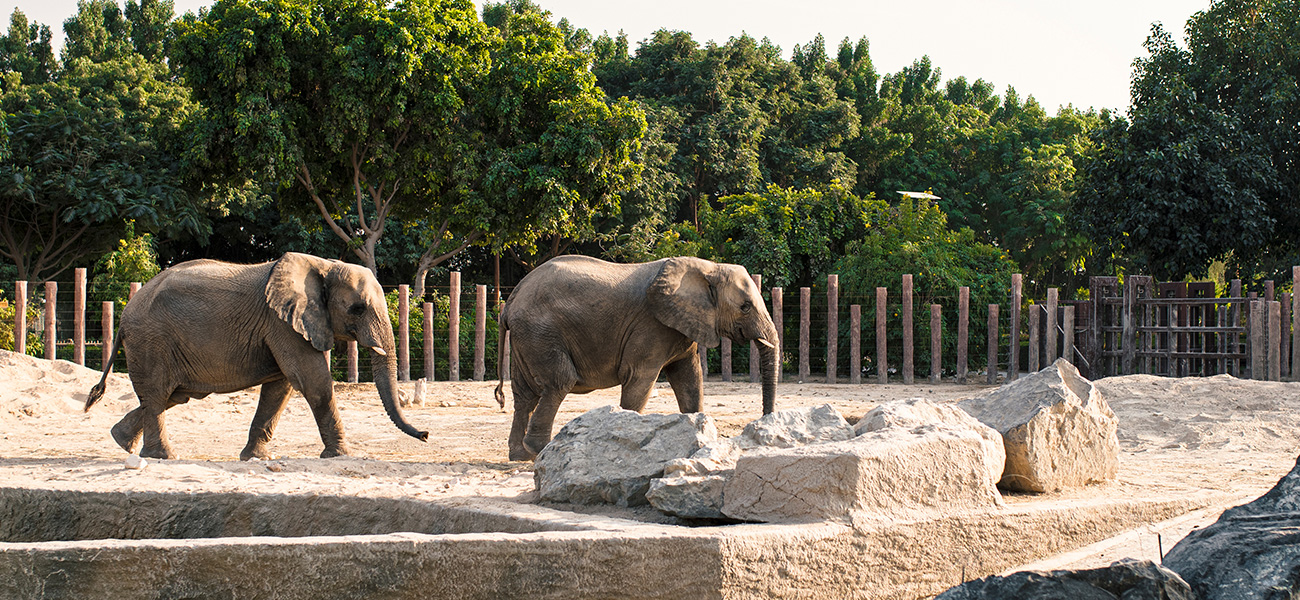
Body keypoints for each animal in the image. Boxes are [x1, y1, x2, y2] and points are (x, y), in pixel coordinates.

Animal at [84, 252, 428, 460]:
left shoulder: (284, 325)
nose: (425, 435)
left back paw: (121, 441)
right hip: (152, 341)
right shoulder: (283, 323)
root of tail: (124, 314)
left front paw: (255, 458)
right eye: (357, 309)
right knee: (157, 395)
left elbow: (280, 388)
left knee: (172, 396)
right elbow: (312, 381)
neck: (323, 265)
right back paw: (162, 457)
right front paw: (341, 456)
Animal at [493, 255, 779, 461]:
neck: (709, 267)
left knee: (525, 396)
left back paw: (519, 456)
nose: (763, 423)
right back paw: (538, 450)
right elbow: (639, 380)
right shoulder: (651, 326)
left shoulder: (682, 325)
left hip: (527, 337)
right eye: (745, 307)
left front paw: (698, 441)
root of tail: (511, 301)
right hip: (540, 331)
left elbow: (689, 378)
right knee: (558, 382)